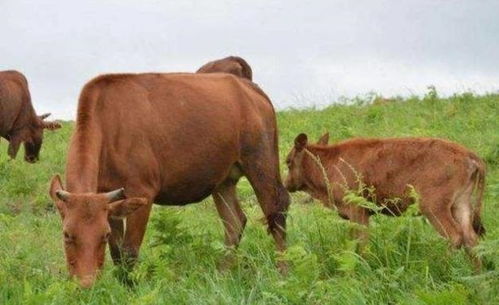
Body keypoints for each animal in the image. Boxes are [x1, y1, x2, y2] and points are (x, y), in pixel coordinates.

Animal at [288, 133, 486, 266]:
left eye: (288, 161)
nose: (287, 184)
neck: (329, 162)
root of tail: (468, 154)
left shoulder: (357, 211)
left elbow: (362, 242)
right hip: (460, 205)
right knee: (471, 239)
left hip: (434, 208)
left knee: (455, 236)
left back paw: (441, 265)